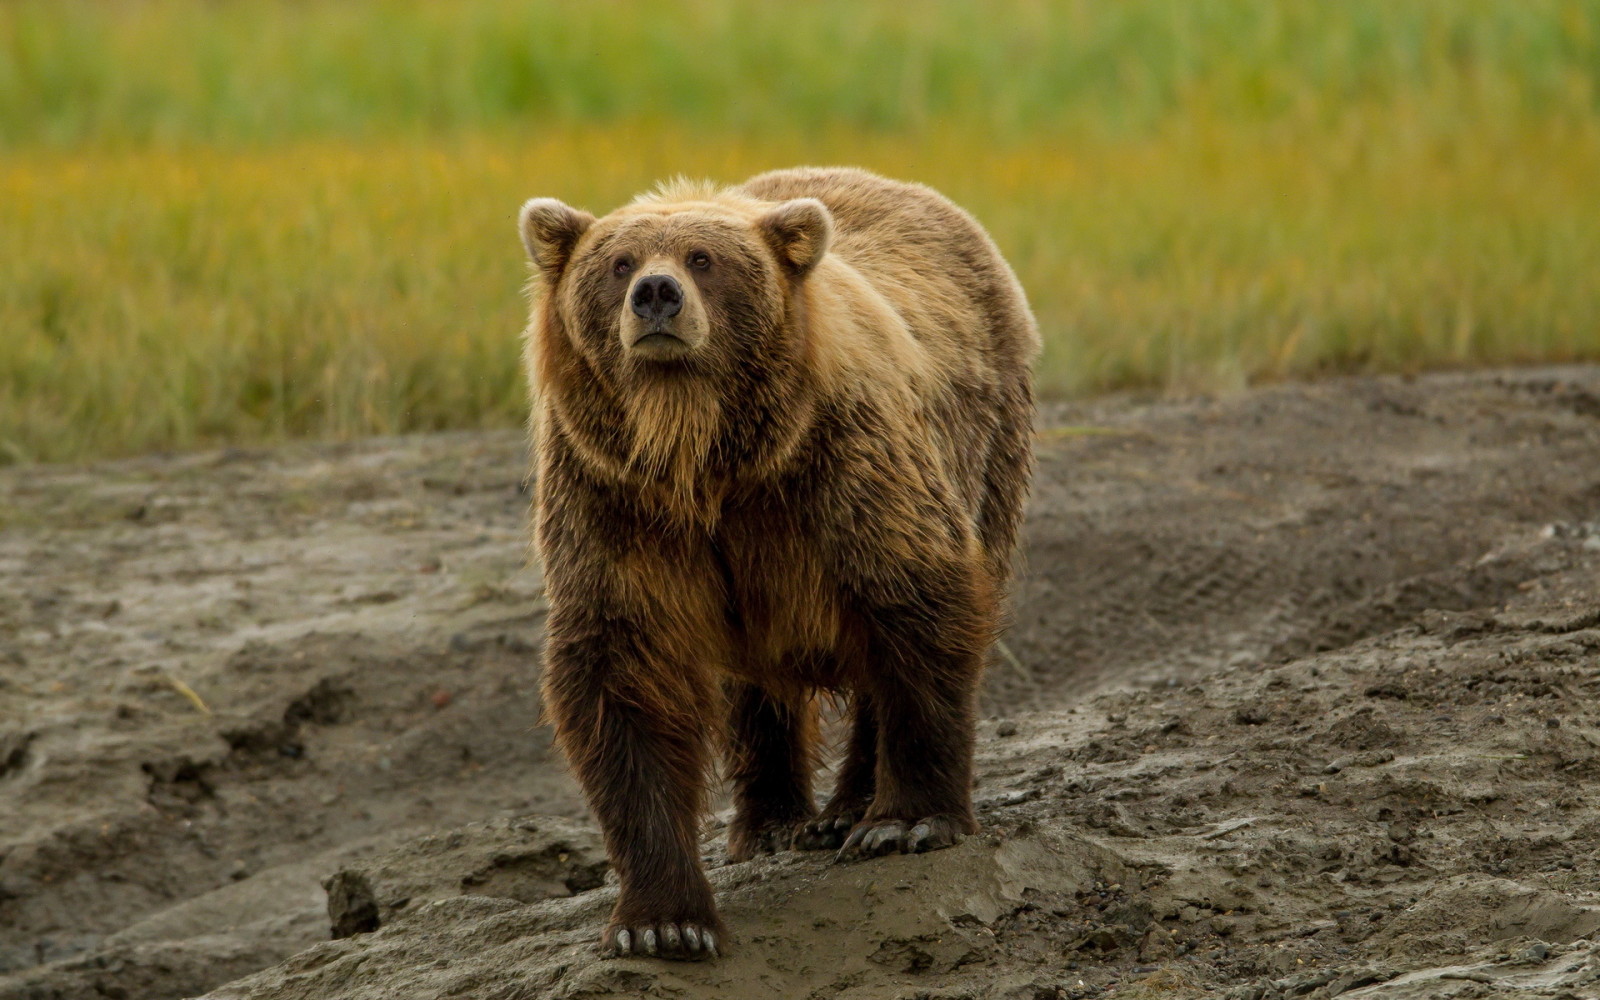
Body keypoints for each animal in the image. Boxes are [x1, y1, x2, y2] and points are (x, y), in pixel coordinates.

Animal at [521, 168, 1036, 953]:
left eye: (703, 258)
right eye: (618, 263)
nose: (656, 293)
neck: (703, 455)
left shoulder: (839, 466)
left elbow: (917, 601)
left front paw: (910, 819)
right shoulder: (614, 500)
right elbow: (622, 673)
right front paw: (663, 921)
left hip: (989, 438)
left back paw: (851, 809)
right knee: (752, 691)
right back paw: (769, 822)